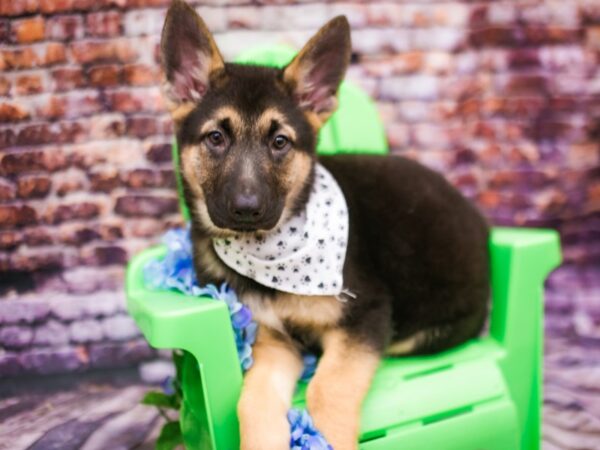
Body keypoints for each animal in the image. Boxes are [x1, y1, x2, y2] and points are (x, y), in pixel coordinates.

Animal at [161, 1, 492, 448]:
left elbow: (328, 389)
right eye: (216, 138)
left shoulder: (367, 316)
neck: (270, 254)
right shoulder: (274, 340)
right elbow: (254, 401)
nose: (246, 209)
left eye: (279, 142)